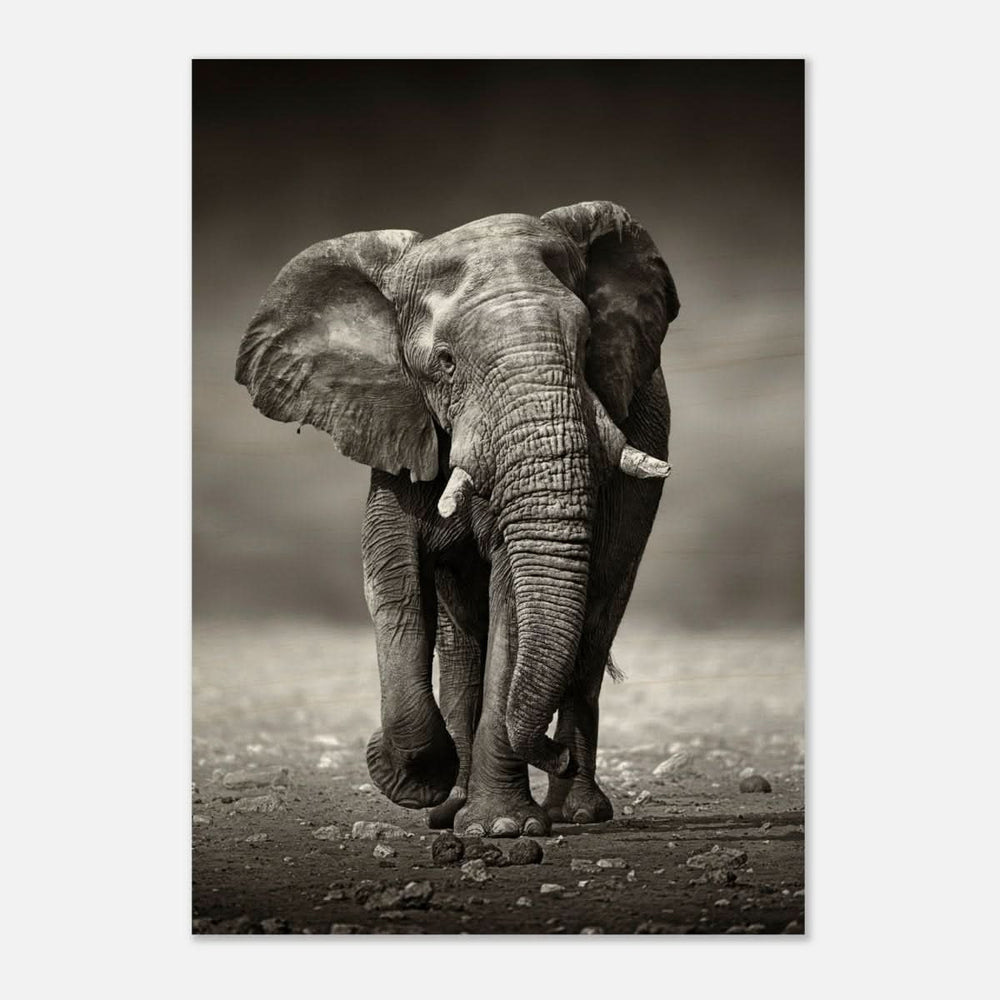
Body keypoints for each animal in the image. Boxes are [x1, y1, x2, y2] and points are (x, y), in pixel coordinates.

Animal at [235, 201, 679, 837]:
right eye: (444, 363)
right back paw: (451, 808)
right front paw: (416, 780)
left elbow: (511, 597)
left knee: (593, 625)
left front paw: (503, 828)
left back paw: (575, 812)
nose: (552, 753)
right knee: (461, 642)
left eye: (588, 341)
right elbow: (392, 578)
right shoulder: (396, 422)